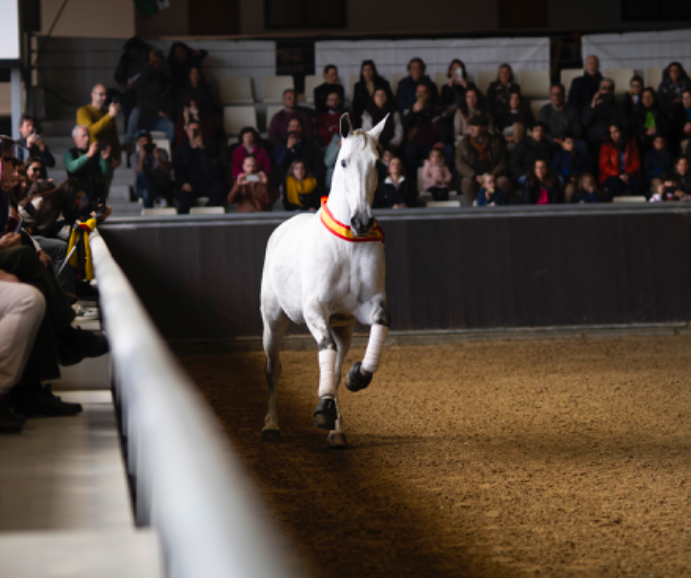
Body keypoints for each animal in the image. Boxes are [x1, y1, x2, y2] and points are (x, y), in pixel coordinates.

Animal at [260, 113, 390, 448]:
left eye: (378, 163)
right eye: (343, 162)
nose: (361, 221)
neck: (348, 243)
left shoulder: (366, 307)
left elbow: (379, 324)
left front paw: (357, 377)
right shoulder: (314, 310)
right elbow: (324, 347)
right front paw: (323, 409)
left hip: (343, 326)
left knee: (336, 359)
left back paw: (338, 431)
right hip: (273, 321)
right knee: (273, 368)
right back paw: (271, 425)